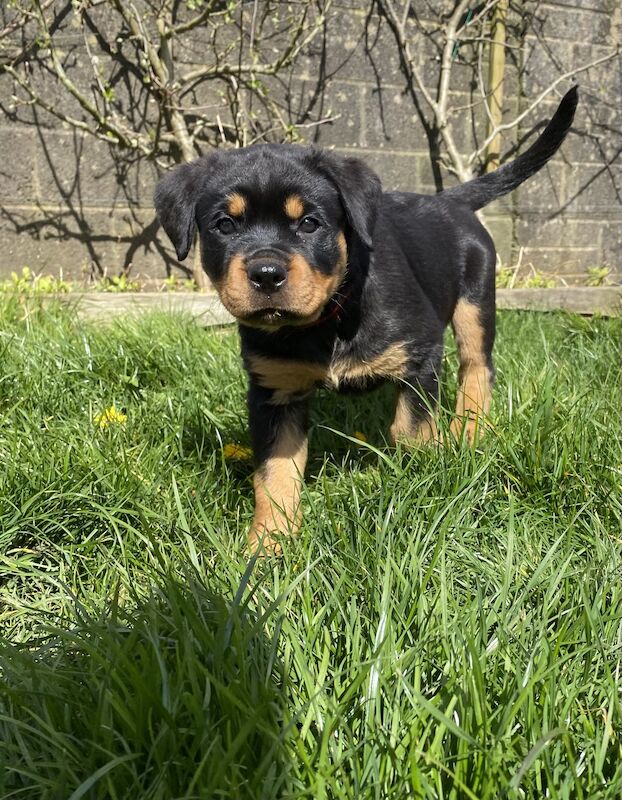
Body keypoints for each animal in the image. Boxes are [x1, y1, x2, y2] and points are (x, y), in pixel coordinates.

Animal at [156, 86, 580, 552]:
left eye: (310, 223)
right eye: (224, 225)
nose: (266, 273)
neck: (328, 319)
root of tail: (447, 198)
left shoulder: (420, 355)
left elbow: (411, 429)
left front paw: (423, 483)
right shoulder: (273, 390)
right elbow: (274, 472)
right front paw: (268, 546)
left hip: (476, 300)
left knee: (477, 368)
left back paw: (470, 433)